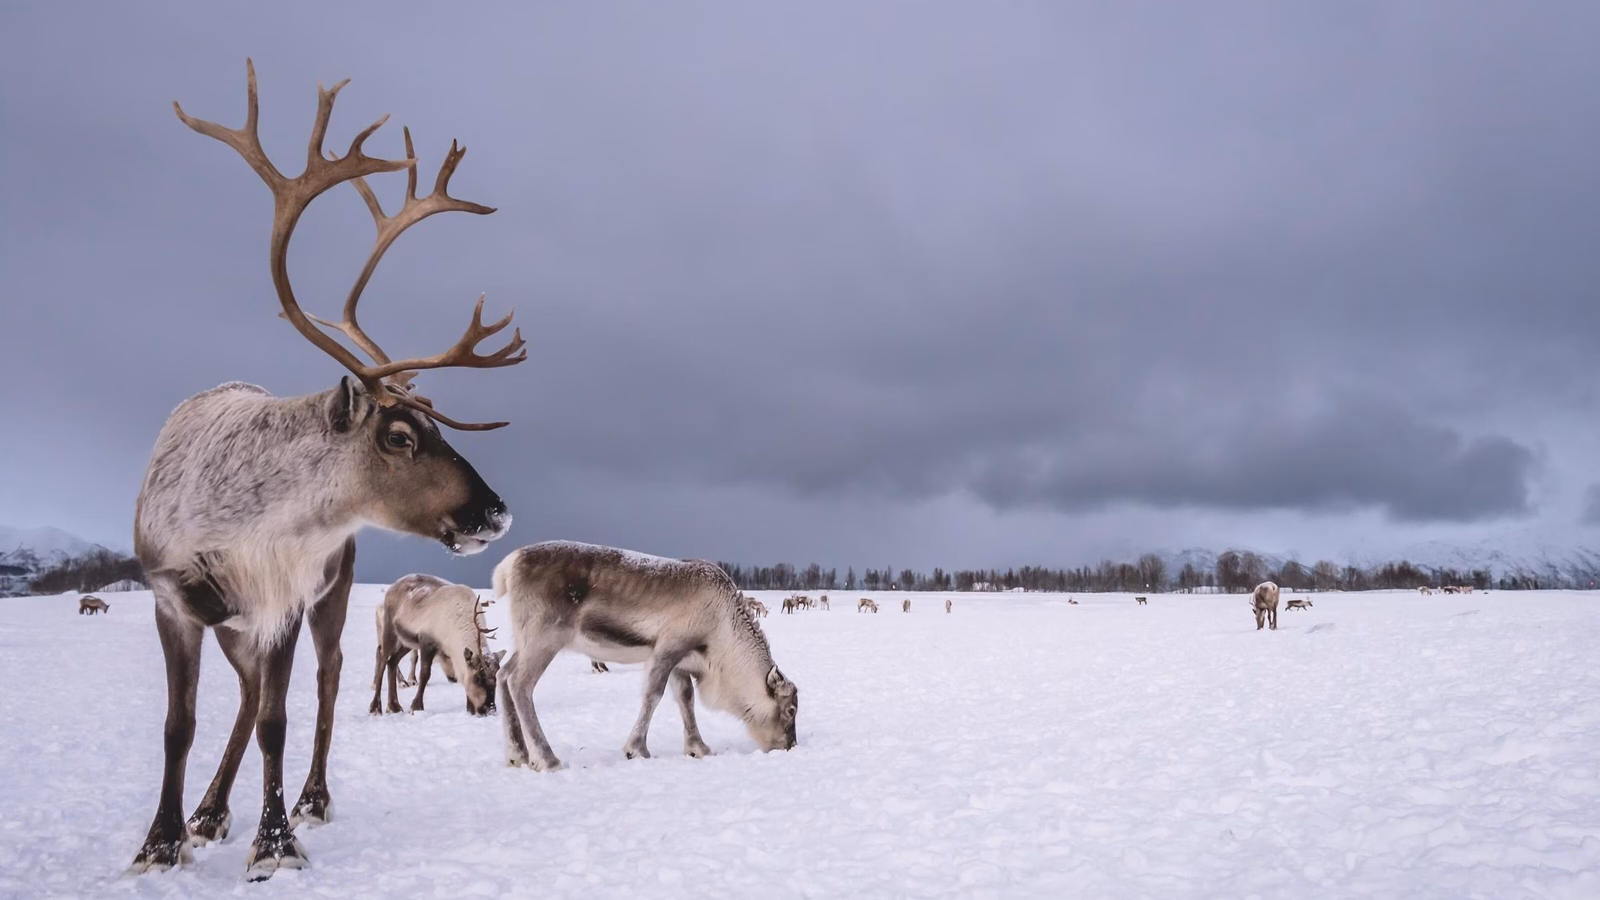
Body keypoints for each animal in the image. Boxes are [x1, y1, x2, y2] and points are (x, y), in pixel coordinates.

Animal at [128, 61, 524, 880]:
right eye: (401, 435)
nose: (496, 511)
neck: (236, 523)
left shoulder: (283, 600)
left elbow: (279, 719)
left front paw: (276, 842)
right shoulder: (173, 598)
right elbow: (178, 724)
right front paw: (162, 840)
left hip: (330, 594)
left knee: (324, 681)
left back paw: (306, 798)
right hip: (236, 622)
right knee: (249, 697)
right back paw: (209, 811)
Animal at [492, 541, 799, 770]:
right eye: (791, 710)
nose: (790, 746)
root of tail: (509, 565)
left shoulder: (682, 661)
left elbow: (686, 699)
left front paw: (697, 747)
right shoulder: (668, 647)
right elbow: (654, 694)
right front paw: (636, 749)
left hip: (525, 640)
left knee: (503, 673)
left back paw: (517, 754)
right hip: (545, 637)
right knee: (520, 683)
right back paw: (547, 758)